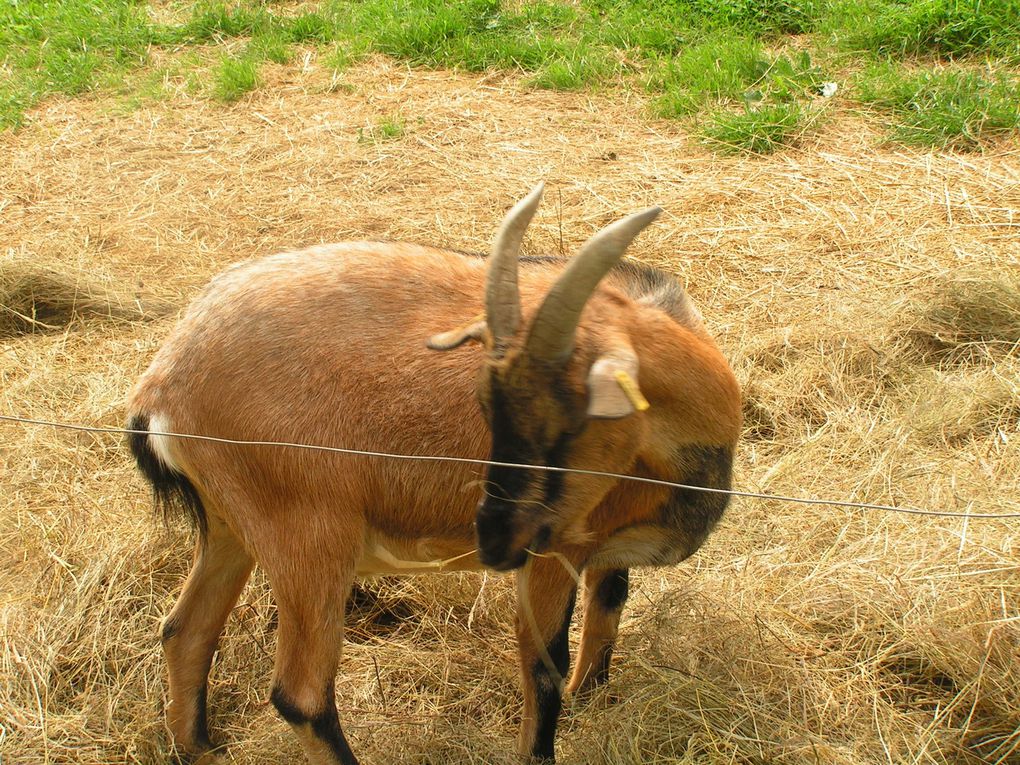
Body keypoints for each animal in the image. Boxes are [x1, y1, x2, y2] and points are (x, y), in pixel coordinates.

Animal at [129, 187, 742, 765]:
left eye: (573, 419)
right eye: (488, 406)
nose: (492, 538)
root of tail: (163, 384)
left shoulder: (599, 546)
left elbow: (608, 606)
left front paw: (592, 697)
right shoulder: (552, 552)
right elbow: (544, 665)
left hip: (231, 526)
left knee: (185, 631)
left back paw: (199, 747)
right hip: (308, 540)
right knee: (300, 694)